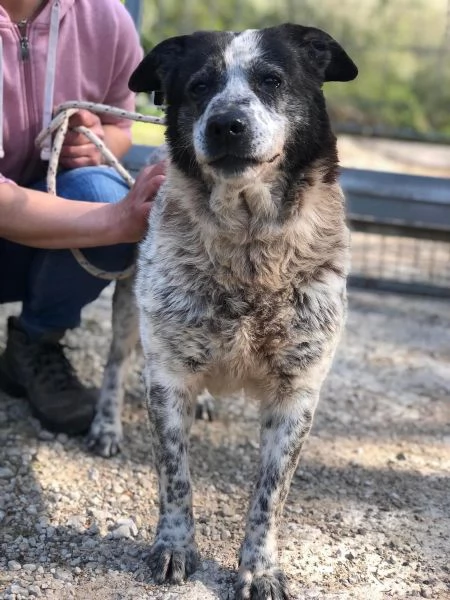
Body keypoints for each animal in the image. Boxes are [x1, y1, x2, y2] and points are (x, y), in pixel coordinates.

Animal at [89, 24, 356, 600]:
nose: (226, 124)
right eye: (198, 85)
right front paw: (174, 548)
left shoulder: (297, 394)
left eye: (271, 80)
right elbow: (175, 477)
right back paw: (106, 426)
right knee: (116, 362)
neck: (250, 249)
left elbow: (269, 497)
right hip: (127, 308)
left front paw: (260, 569)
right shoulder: (166, 378)